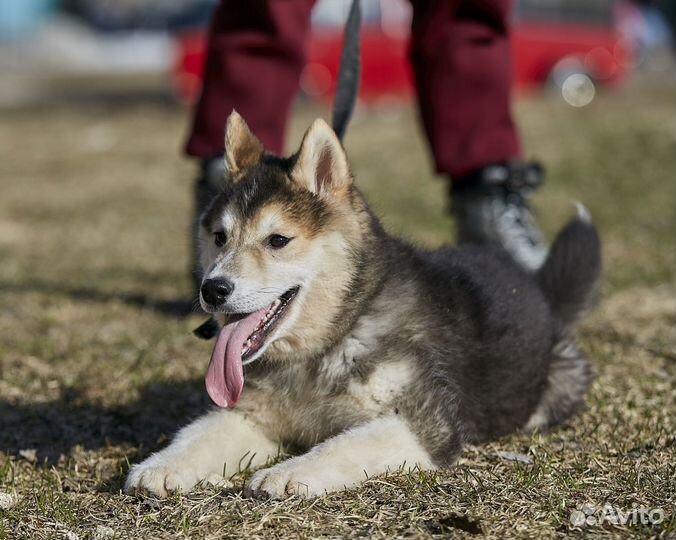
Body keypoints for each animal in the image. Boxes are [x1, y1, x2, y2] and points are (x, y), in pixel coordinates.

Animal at [124, 112, 600, 500]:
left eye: (277, 240)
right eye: (219, 237)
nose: (213, 289)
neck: (333, 336)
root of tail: (538, 288)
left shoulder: (423, 424)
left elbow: (344, 443)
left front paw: (287, 472)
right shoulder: (254, 414)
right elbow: (198, 433)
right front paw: (159, 465)